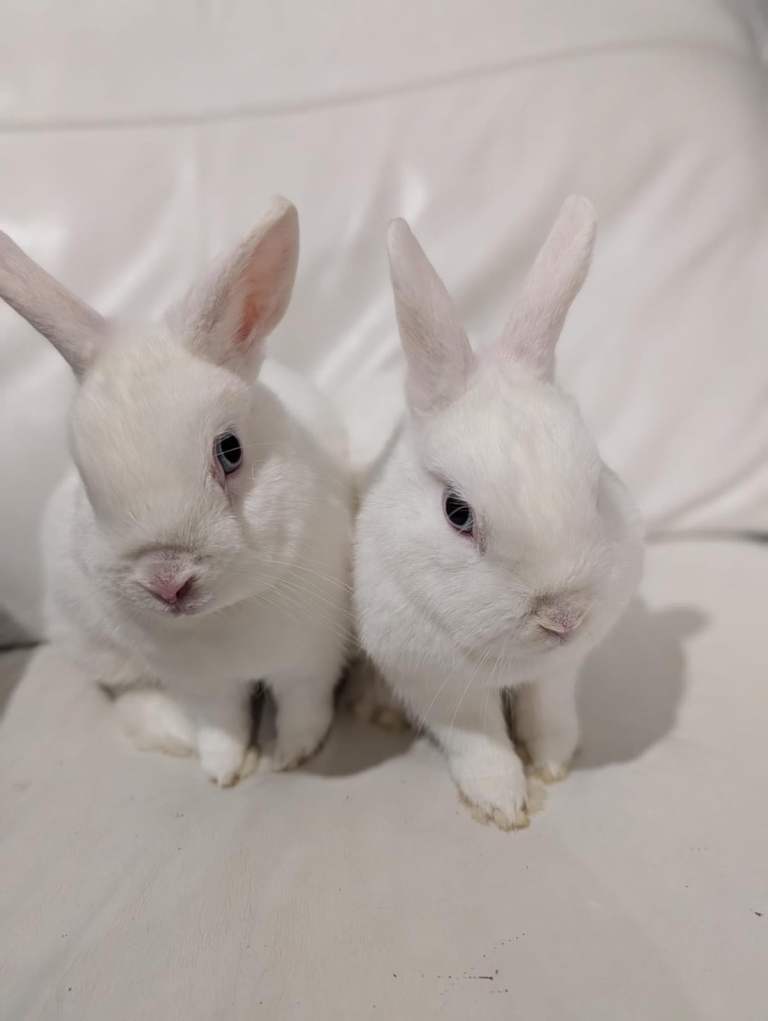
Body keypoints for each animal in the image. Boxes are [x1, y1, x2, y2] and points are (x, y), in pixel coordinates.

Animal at [0, 197, 353, 786]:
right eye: (87, 481)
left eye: (230, 451)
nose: (168, 582)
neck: (224, 616)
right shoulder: (200, 687)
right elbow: (221, 723)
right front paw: (224, 770)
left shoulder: (310, 657)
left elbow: (303, 707)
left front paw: (290, 756)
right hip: (87, 640)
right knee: (131, 695)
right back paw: (172, 734)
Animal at [353, 196, 644, 829]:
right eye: (457, 513)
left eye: (596, 487)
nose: (563, 617)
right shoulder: (439, 687)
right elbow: (480, 743)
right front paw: (503, 805)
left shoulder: (557, 674)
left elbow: (549, 714)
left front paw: (553, 763)